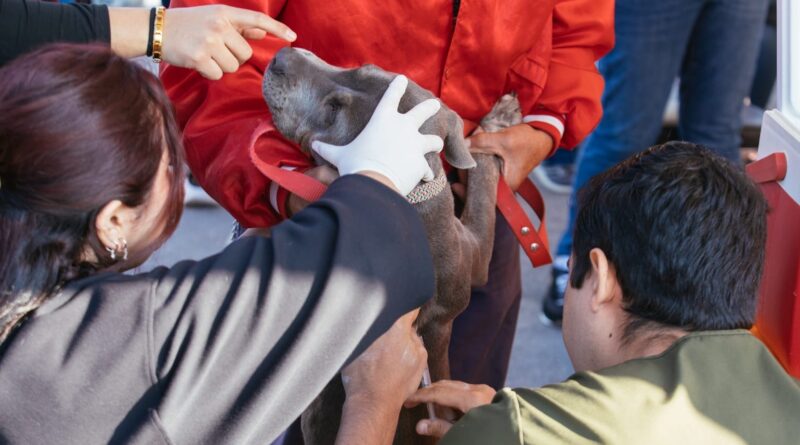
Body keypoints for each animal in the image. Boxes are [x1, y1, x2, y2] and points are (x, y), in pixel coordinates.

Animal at [262, 47, 521, 444]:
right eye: (359, 66)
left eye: (334, 110)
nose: (281, 55)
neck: (403, 190)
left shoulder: (475, 257)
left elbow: (482, 186)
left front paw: (498, 124)